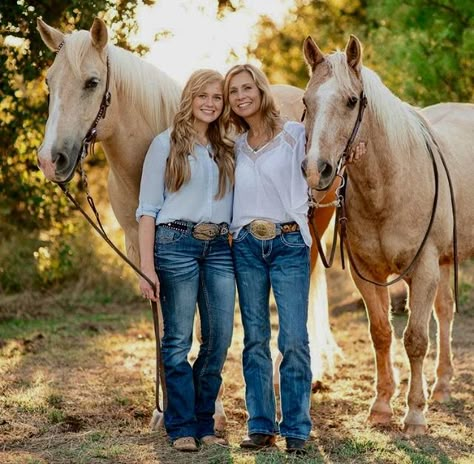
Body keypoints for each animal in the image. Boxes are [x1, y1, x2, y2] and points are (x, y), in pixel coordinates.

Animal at [37, 17, 340, 432]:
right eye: (49, 82)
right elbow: (167, 321)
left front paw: (212, 409)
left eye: (92, 82)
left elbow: (204, 321)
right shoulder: (142, 248)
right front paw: (163, 410)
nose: (50, 160)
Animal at [302, 33, 472, 436]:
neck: (389, 186)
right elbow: (381, 333)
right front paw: (381, 407)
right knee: (445, 312)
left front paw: (414, 414)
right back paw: (442, 386)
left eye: (351, 101)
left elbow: (415, 339)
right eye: (306, 101)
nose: (317, 170)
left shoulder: (423, 270)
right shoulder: (367, 273)